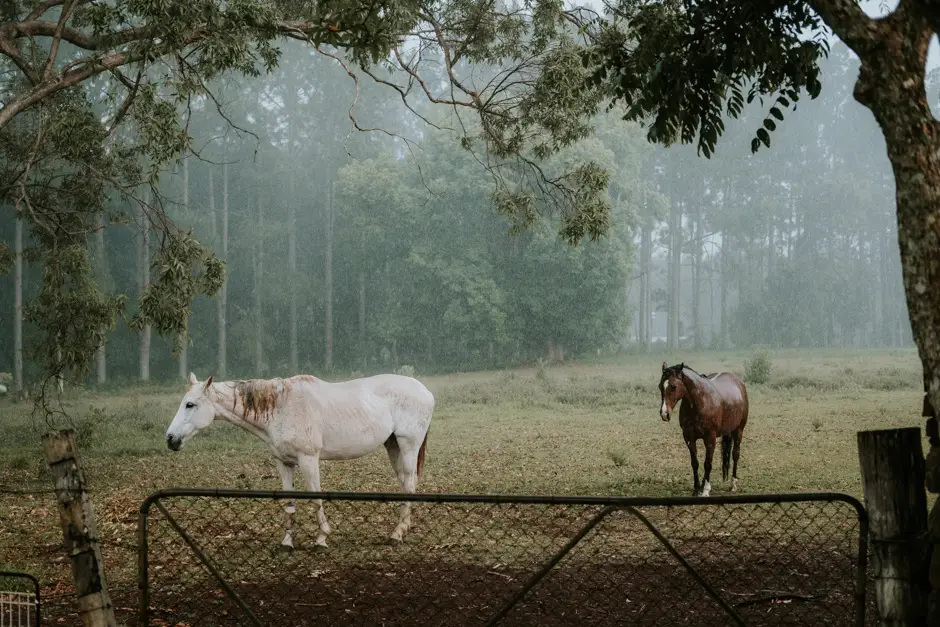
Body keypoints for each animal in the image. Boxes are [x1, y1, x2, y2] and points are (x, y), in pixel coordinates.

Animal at [165, 372, 435, 550]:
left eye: (190, 404)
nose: (170, 439)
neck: (282, 407)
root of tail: (426, 392)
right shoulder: (283, 463)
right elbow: (289, 503)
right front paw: (287, 542)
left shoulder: (308, 460)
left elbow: (315, 499)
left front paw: (322, 538)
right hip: (393, 446)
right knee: (405, 484)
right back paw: (402, 530)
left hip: (407, 446)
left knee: (409, 484)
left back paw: (397, 534)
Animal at [657, 362, 749, 497]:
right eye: (660, 386)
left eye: (673, 386)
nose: (664, 414)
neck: (700, 402)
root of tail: (739, 383)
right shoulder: (689, 438)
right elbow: (695, 463)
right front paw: (696, 489)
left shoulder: (710, 438)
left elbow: (707, 464)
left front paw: (705, 490)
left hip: (738, 430)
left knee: (735, 454)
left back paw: (733, 484)